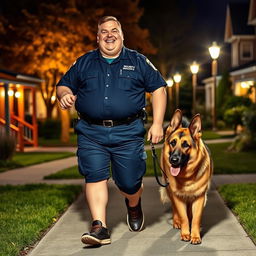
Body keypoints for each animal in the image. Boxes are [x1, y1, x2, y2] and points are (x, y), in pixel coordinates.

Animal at [160, 109, 212, 244]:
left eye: (185, 145)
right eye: (173, 143)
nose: (173, 160)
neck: (186, 177)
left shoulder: (199, 197)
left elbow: (196, 218)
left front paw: (195, 235)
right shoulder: (177, 196)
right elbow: (183, 216)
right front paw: (185, 233)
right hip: (170, 191)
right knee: (175, 208)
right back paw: (176, 221)